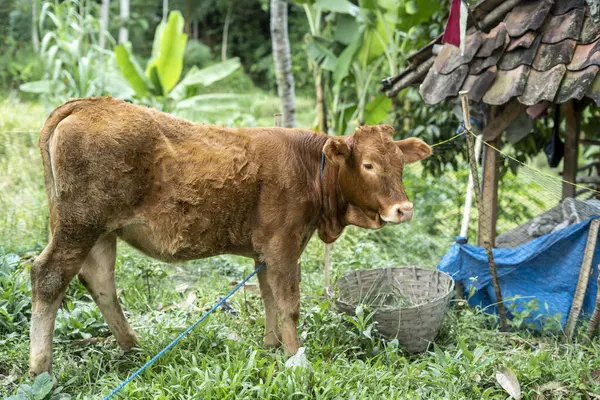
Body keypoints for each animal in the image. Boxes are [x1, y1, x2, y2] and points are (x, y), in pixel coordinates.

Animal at [29, 97, 432, 376]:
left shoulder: (265, 251)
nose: (404, 209)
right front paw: (296, 357)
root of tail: (89, 102)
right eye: (368, 164)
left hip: (100, 231)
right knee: (48, 277)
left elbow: (269, 297)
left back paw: (132, 347)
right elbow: (289, 303)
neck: (309, 170)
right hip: (79, 226)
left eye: (400, 164)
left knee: (99, 282)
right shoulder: (283, 245)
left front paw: (271, 345)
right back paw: (42, 369)